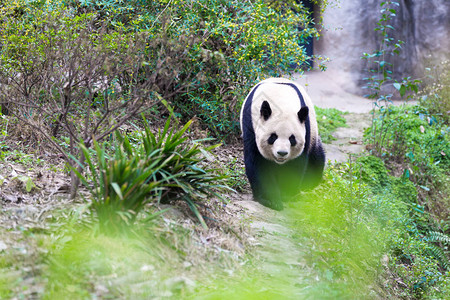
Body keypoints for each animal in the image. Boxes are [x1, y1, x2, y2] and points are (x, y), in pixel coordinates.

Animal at [241, 76, 326, 210]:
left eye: (292, 139)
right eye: (273, 137)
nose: (282, 153)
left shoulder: (306, 128)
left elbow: (296, 162)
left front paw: (286, 192)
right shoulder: (251, 125)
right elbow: (258, 161)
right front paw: (271, 200)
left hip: (313, 132)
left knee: (316, 157)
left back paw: (308, 183)